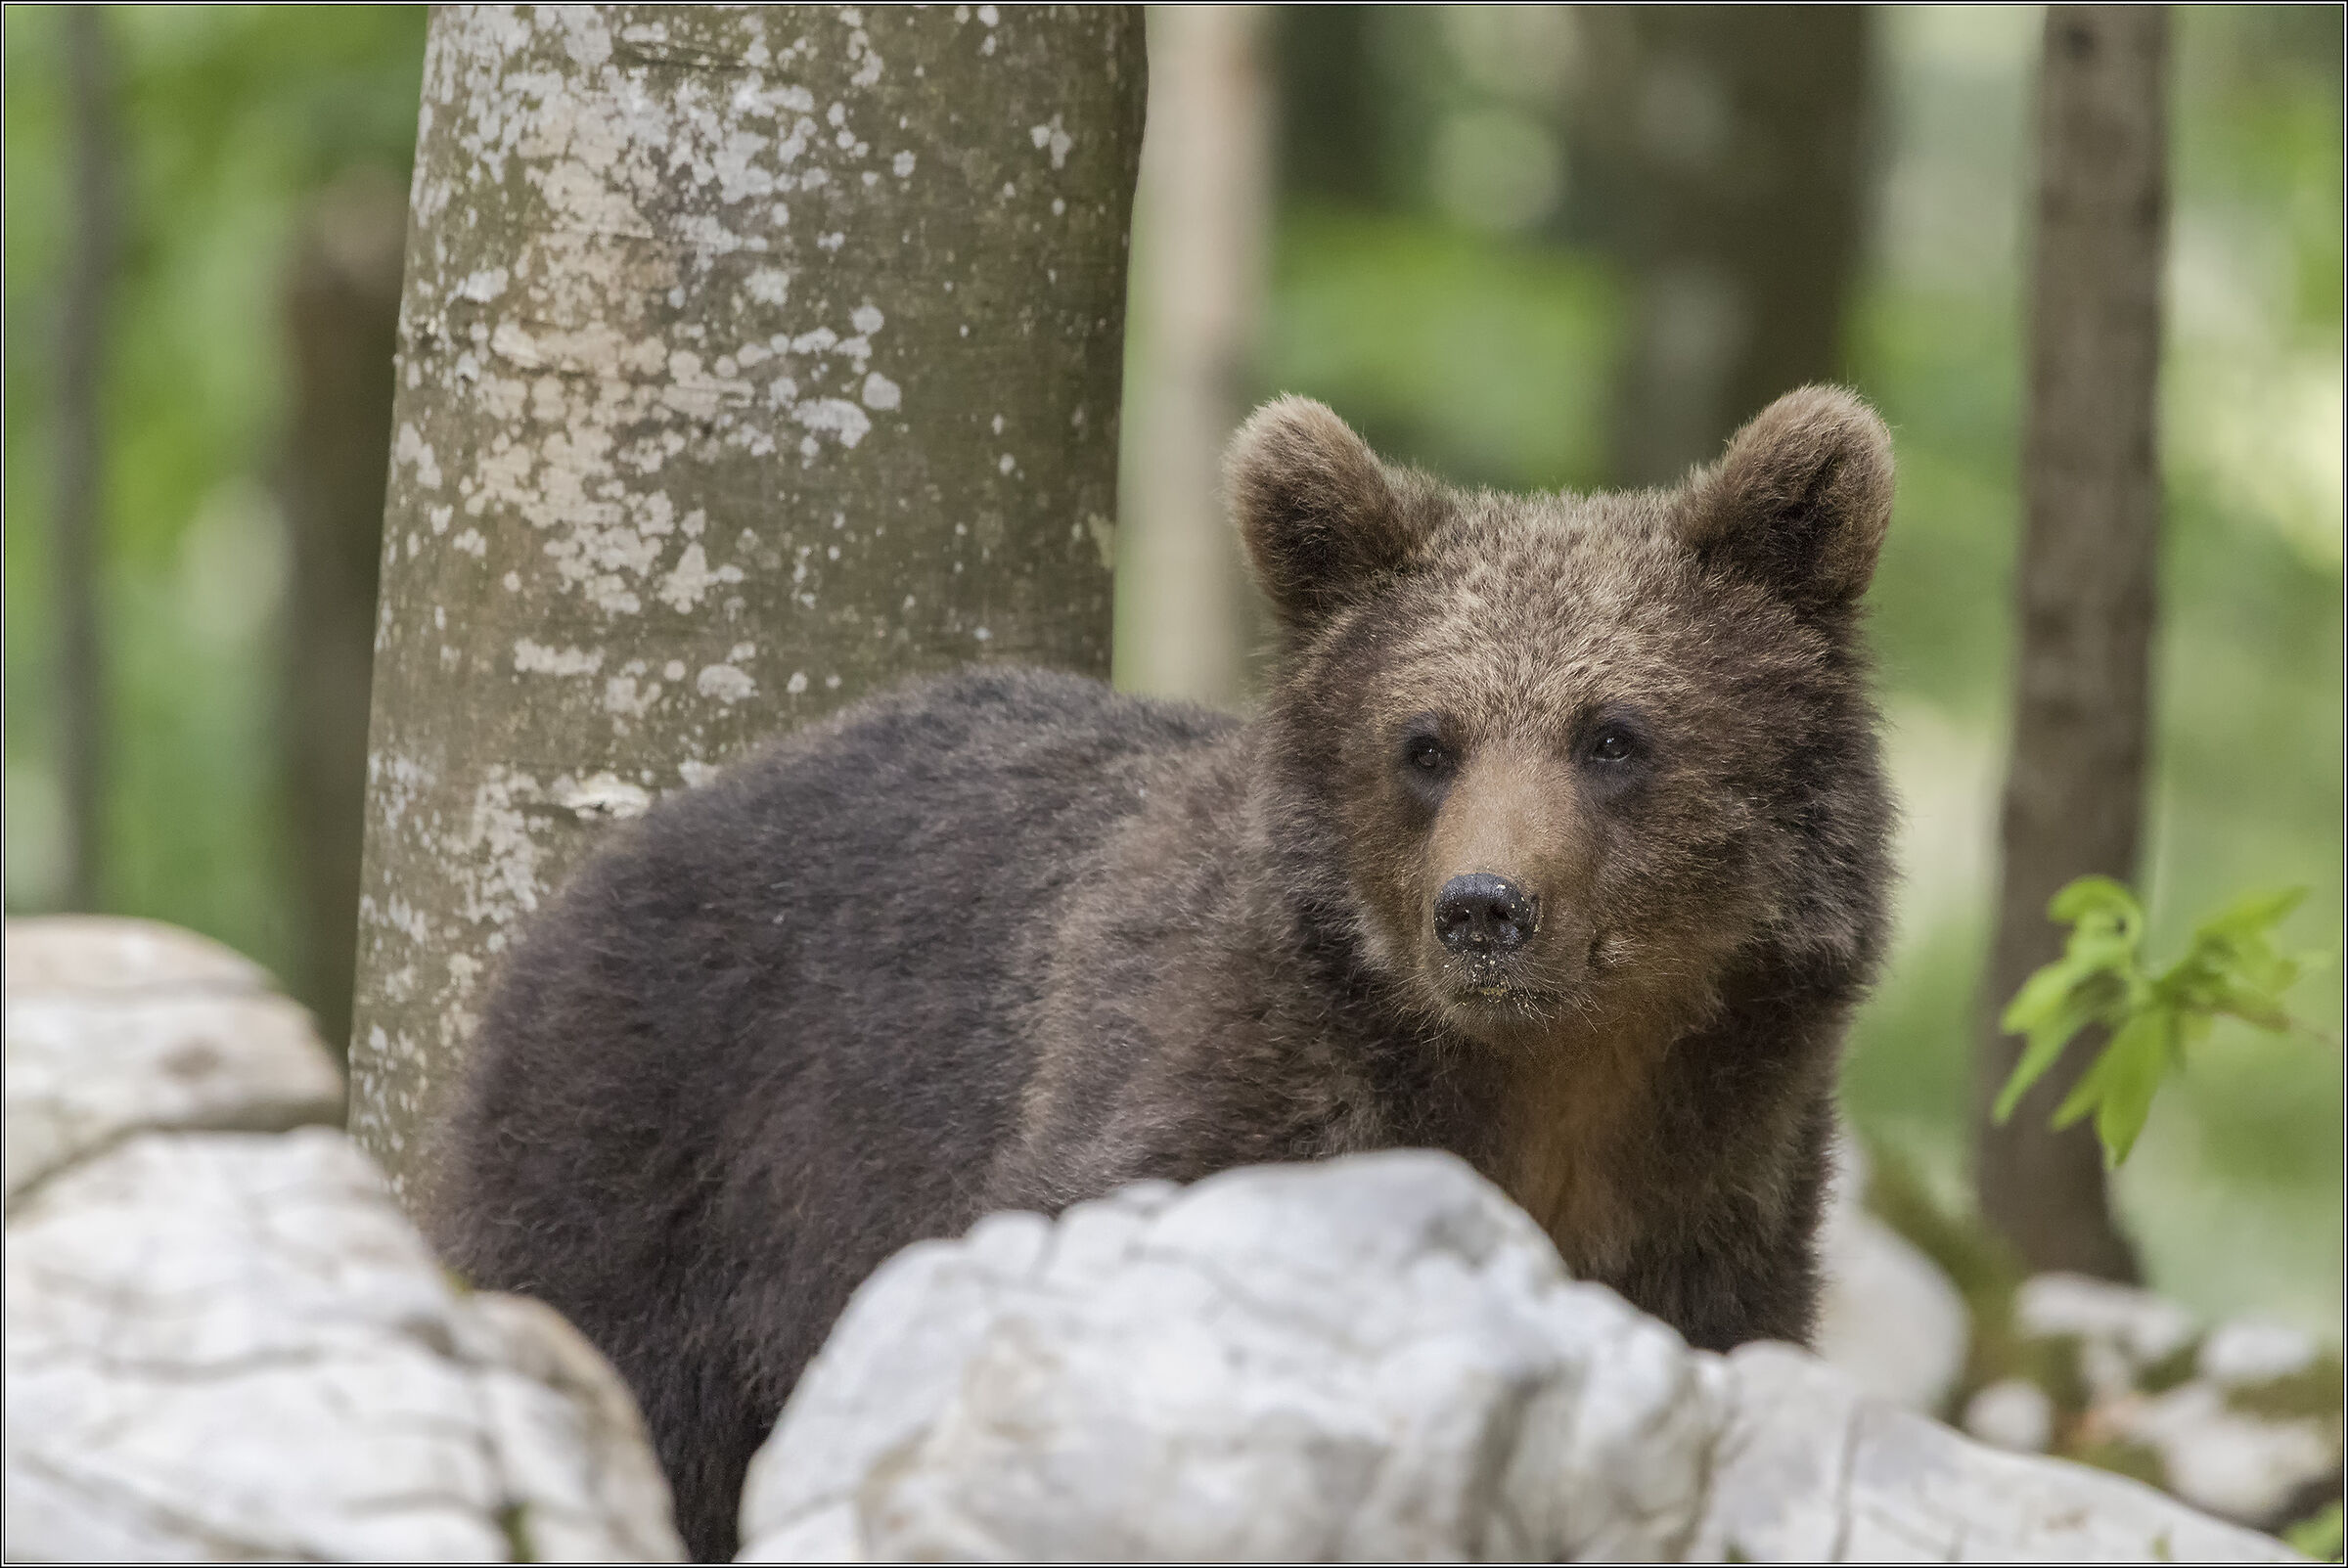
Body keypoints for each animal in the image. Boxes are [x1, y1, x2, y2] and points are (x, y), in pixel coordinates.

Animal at [428, 385, 1896, 1561]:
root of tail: (621, 848)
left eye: (1613, 734)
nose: (1486, 910)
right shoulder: (1216, 1103)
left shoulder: (1717, 1197)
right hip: (666, 1151)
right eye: (1426, 741)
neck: (1549, 1079)